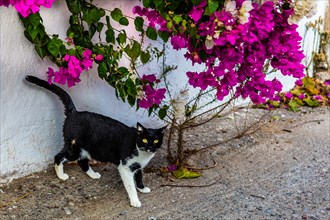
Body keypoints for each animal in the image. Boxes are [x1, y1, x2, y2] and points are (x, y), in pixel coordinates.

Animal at [25, 75, 168, 207]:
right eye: (144, 139)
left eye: (156, 141)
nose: (150, 146)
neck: (141, 152)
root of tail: (74, 113)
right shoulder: (124, 167)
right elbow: (130, 185)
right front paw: (135, 200)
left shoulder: (138, 166)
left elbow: (139, 177)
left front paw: (142, 188)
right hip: (74, 147)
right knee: (59, 157)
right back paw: (61, 176)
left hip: (85, 148)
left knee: (82, 161)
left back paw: (93, 175)